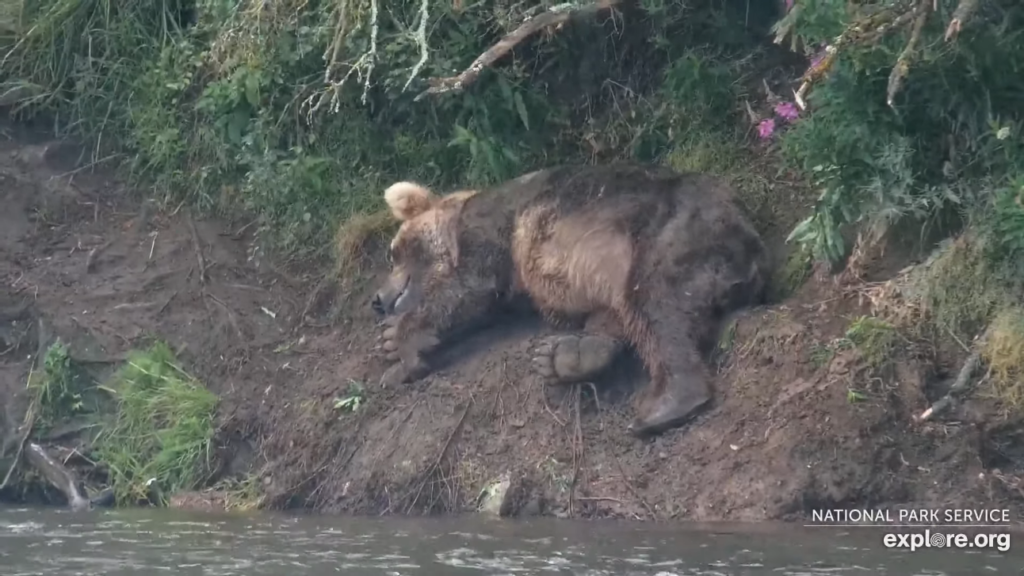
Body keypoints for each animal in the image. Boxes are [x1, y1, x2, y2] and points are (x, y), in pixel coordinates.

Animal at [370, 162, 770, 434]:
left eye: (393, 252)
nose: (378, 298)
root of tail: (752, 249)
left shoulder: (492, 227)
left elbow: (471, 286)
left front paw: (399, 346)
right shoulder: (518, 288)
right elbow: (479, 307)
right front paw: (394, 350)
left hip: (669, 229)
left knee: (657, 302)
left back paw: (667, 403)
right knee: (627, 313)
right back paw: (566, 356)